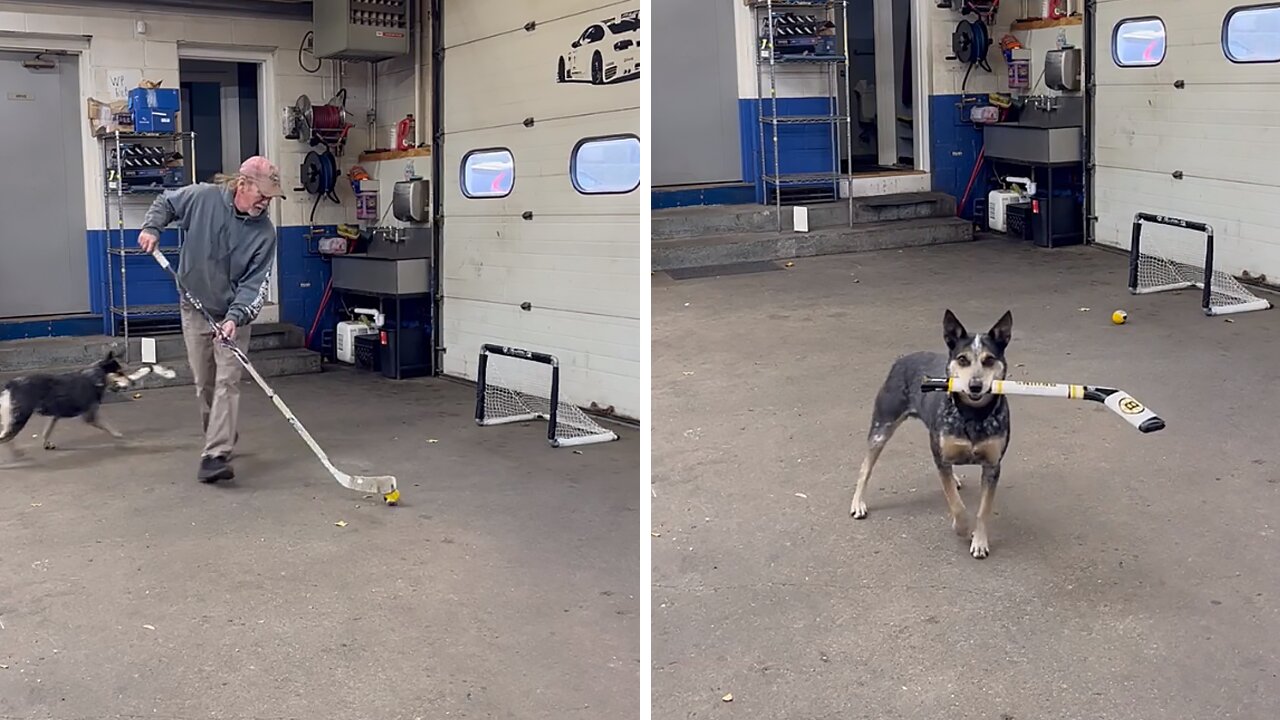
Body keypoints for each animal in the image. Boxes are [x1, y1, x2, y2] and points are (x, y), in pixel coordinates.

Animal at [855, 308, 1013, 556]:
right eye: (962, 359)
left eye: (989, 360)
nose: (975, 385)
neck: (972, 414)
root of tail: (902, 359)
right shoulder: (942, 458)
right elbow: (957, 505)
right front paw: (961, 528)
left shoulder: (992, 466)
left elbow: (983, 510)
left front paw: (979, 541)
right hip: (882, 427)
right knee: (865, 468)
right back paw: (858, 503)